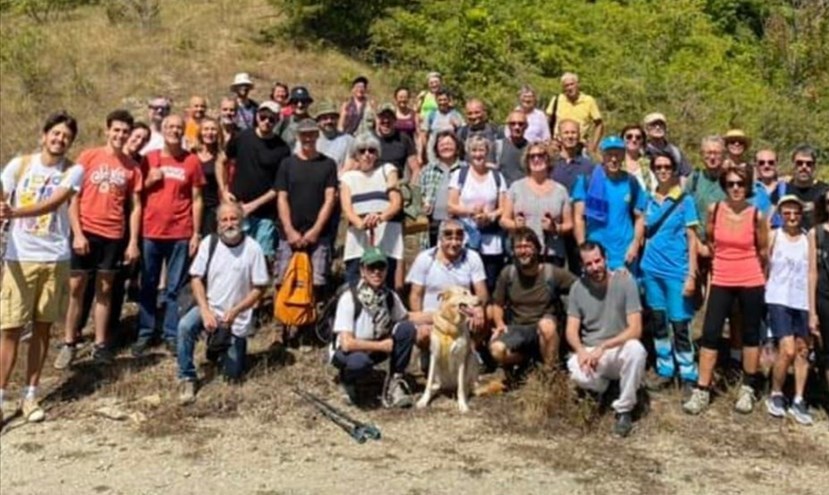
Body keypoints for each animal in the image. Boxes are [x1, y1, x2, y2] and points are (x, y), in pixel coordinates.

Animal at [414, 284, 478, 412]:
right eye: (464, 293)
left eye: (470, 292)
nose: (480, 300)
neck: (450, 325)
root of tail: (449, 386)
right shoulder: (434, 356)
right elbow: (428, 383)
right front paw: (423, 400)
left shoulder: (461, 358)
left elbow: (461, 388)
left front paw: (462, 404)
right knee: (438, 384)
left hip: (472, 357)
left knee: (467, 384)